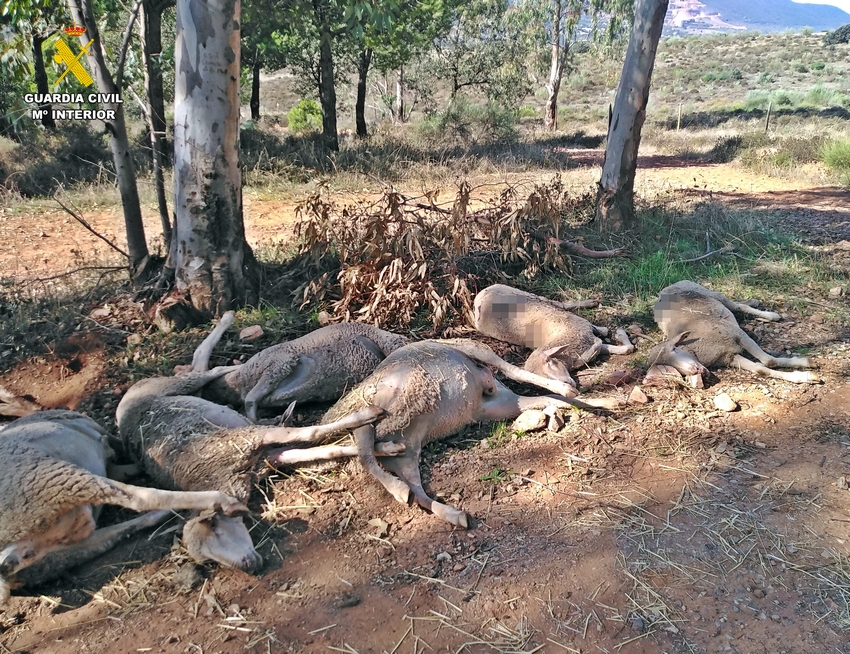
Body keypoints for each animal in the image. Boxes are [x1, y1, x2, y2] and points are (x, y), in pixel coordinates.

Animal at [320, 338, 622, 529]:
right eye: (557, 363)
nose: (573, 380)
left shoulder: (499, 403)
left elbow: (549, 398)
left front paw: (606, 403)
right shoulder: (479, 356)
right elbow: (526, 377)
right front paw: (575, 393)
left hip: (413, 438)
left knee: (412, 483)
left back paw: (450, 513)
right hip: (382, 404)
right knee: (365, 447)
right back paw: (398, 487)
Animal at [473, 284, 634, 387]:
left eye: (549, 362)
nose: (566, 384)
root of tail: (477, 299)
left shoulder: (585, 332)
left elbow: (620, 345)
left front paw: (617, 332)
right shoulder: (588, 345)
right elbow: (624, 349)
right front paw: (618, 335)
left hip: (526, 294)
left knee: (558, 303)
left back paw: (591, 303)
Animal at [647, 280, 818, 383]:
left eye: (674, 349)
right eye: (667, 367)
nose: (696, 370)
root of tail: (663, 290)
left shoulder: (737, 335)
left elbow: (769, 360)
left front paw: (805, 363)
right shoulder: (728, 356)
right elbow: (762, 369)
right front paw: (803, 377)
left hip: (710, 293)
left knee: (737, 305)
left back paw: (770, 314)